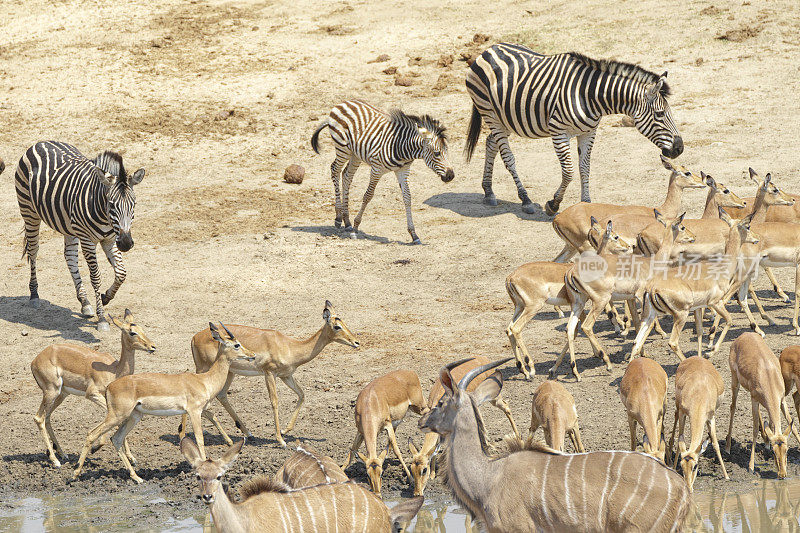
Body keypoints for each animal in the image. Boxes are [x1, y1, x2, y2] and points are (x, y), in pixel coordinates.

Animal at [16, 142, 145, 332]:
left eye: (133, 204)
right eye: (112, 204)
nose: (126, 244)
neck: (104, 215)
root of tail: (40, 143)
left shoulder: (110, 239)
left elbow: (121, 273)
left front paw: (106, 297)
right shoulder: (88, 241)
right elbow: (96, 278)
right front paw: (102, 318)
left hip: (68, 226)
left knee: (69, 256)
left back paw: (84, 302)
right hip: (29, 211)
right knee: (33, 251)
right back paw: (34, 295)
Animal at [310, 98, 454, 244]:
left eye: (447, 151)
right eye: (437, 153)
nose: (451, 176)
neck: (401, 147)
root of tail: (343, 102)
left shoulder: (403, 171)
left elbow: (407, 198)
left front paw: (414, 234)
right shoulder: (376, 169)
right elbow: (368, 195)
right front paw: (356, 228)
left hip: (355, 154)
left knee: (346, 176)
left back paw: (347, 221)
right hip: (343, 149)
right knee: (335, 170)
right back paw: (339, 218)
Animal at [466, 42, 684, 215]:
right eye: (660, 114)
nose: (680, 148)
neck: (589, 96)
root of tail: (488, 50)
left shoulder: (589, 132)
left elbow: (585, 168)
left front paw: (586, 202)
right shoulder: (558, 133)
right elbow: (569, 171)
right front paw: (553, 204)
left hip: (507, 118)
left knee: (491, 143)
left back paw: (488, 192)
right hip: (490, 113)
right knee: (508, 157)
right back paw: (525, 199)